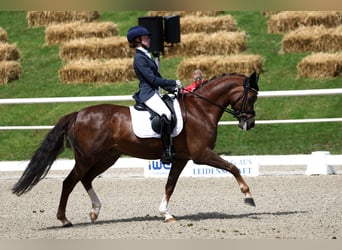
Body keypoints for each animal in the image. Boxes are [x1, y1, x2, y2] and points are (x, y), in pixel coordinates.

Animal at [11, 72, 260, 227]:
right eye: (252, 96)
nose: (249, 124)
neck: (201, 108)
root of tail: (78, 114)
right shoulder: (201, 154)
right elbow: (233, 167)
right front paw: (248, 196)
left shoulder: (181, 158)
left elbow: (170, 185)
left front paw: (166, 214)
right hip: (87, 158)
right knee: (69, 182)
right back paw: (64, 219)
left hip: (107, 157)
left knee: (86, 179)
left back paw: (95, 211)